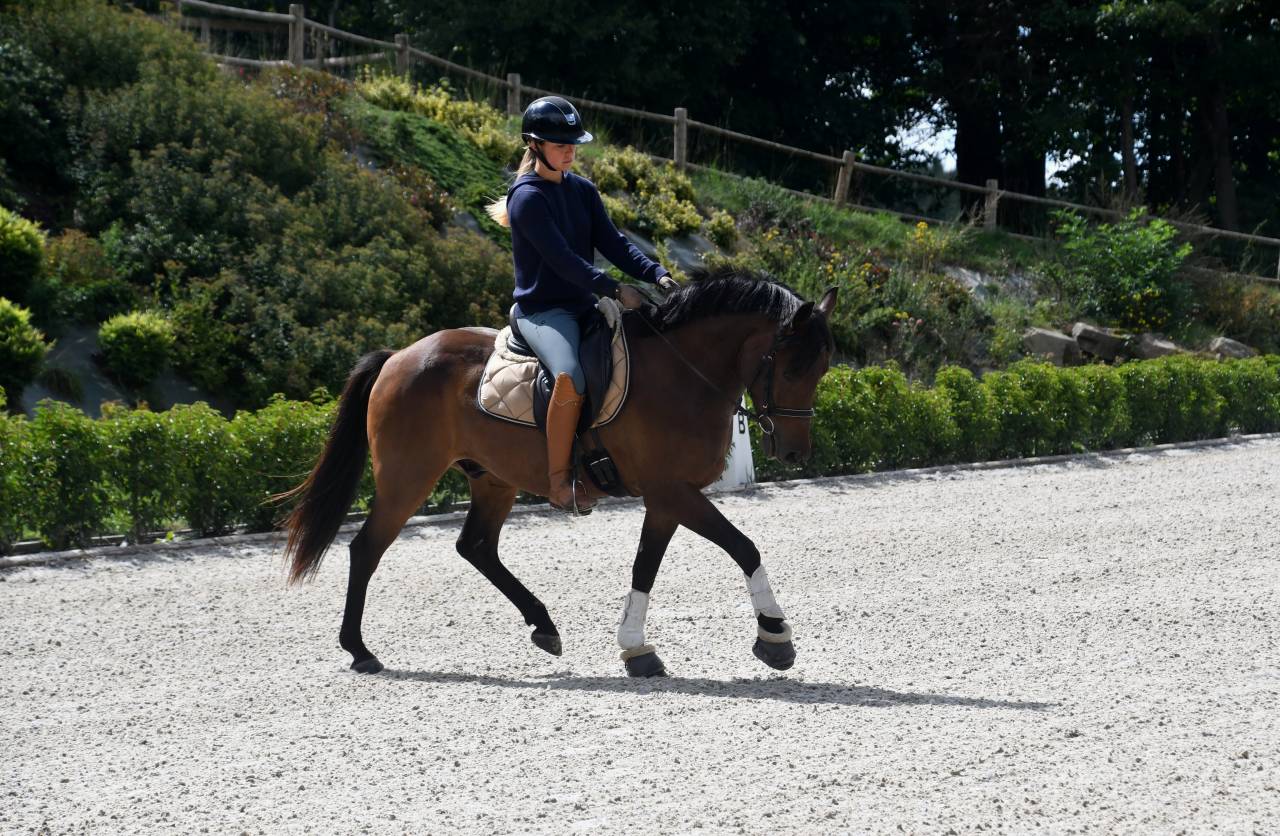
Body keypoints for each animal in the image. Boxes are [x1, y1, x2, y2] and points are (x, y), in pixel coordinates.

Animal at [281, 268, 837, 677]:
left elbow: (645, 566)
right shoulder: (672, 491)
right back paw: (359, 650)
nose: (795, 453)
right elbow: (744, 547)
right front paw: (775, 635)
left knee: (476, 547)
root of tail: (399, 355)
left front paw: (636, 649)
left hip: (492, 479)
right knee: (366, 549)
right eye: (792, 368)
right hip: (408, 478)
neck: (682, 372)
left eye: (823, 368)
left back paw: (543, 626)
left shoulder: (665, 498)